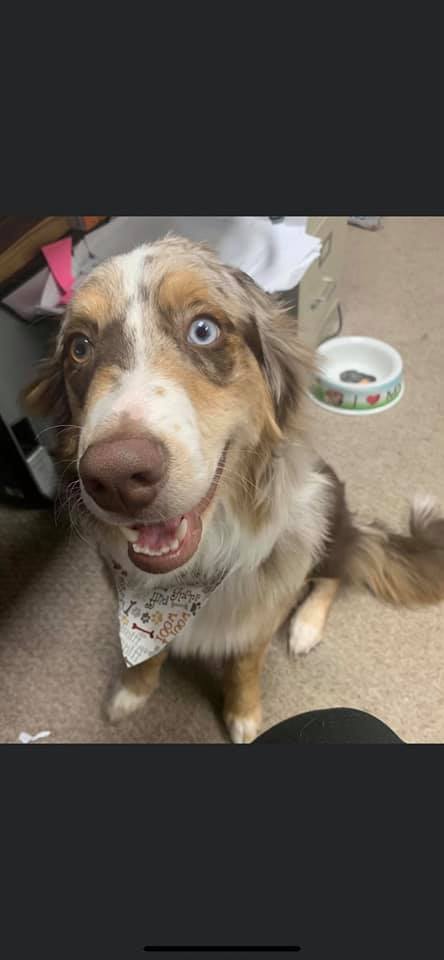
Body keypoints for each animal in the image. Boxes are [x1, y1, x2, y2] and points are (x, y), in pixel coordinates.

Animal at [23, 234, 444, 744]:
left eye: (203, 330)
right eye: (79, 347)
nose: (118, 477)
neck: (190, 579)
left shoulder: (259, 614)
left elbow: (245, 663)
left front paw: (243, 714)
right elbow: (147, 656)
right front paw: (132, 690)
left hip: (324, 507)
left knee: (334, 571)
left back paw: (305, 626)